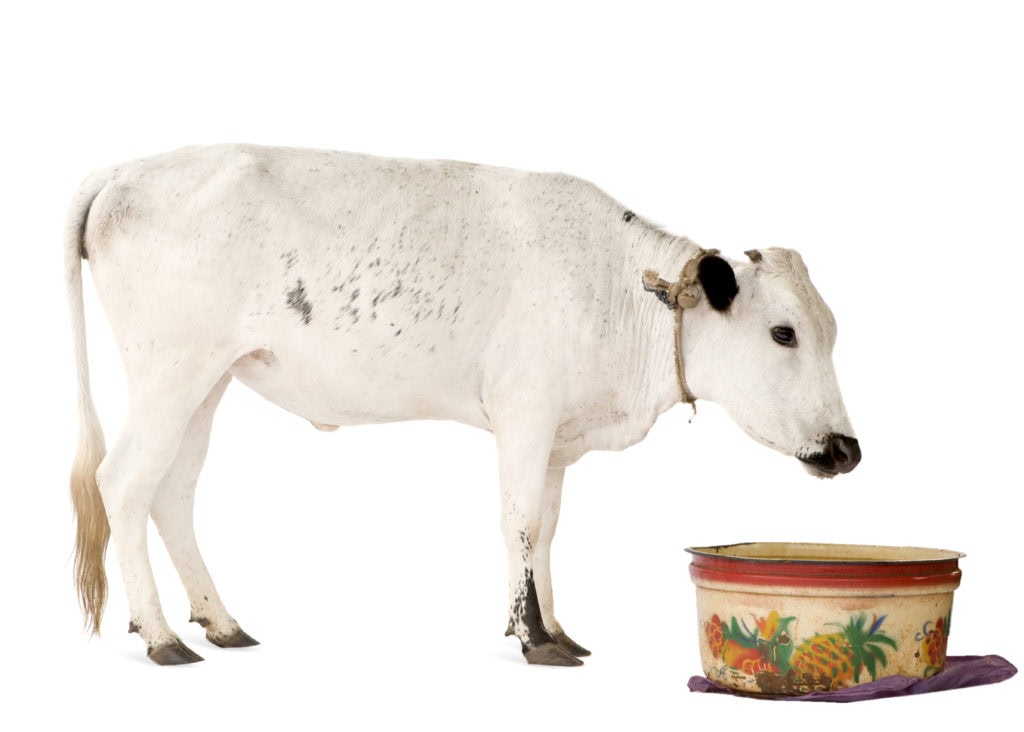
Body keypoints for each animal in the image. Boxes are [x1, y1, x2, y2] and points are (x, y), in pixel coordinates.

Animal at [65, 144, 860, 666]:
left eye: (831, 330)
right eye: (784, 332)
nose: (847, 449)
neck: (616, 289)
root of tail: (124, 170)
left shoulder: (558, 440)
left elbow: (548, 530)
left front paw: (554, 628)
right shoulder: (524, 415)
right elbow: (520, 522)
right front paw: (534, 639)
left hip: (207, 380)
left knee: (173, 490)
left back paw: (219, 623)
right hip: (170, 371)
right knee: (124, 482)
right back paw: (161, 635)